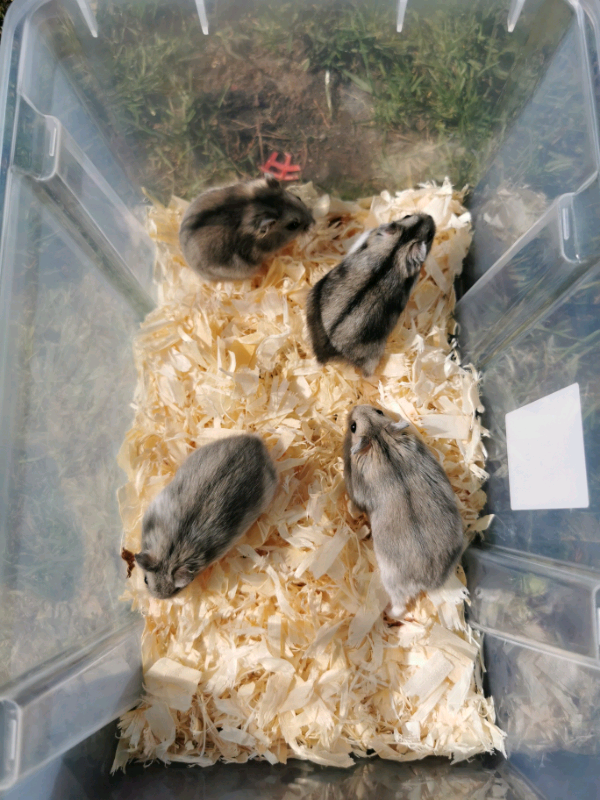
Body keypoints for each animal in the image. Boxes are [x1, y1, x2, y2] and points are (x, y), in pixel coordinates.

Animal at [343, 405, 463, 620]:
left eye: (353, 427)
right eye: (379, 410)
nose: (354, 407)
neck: (379, 437)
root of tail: (430, 581)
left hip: (393, 582)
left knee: (399, 606)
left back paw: (388, 613)